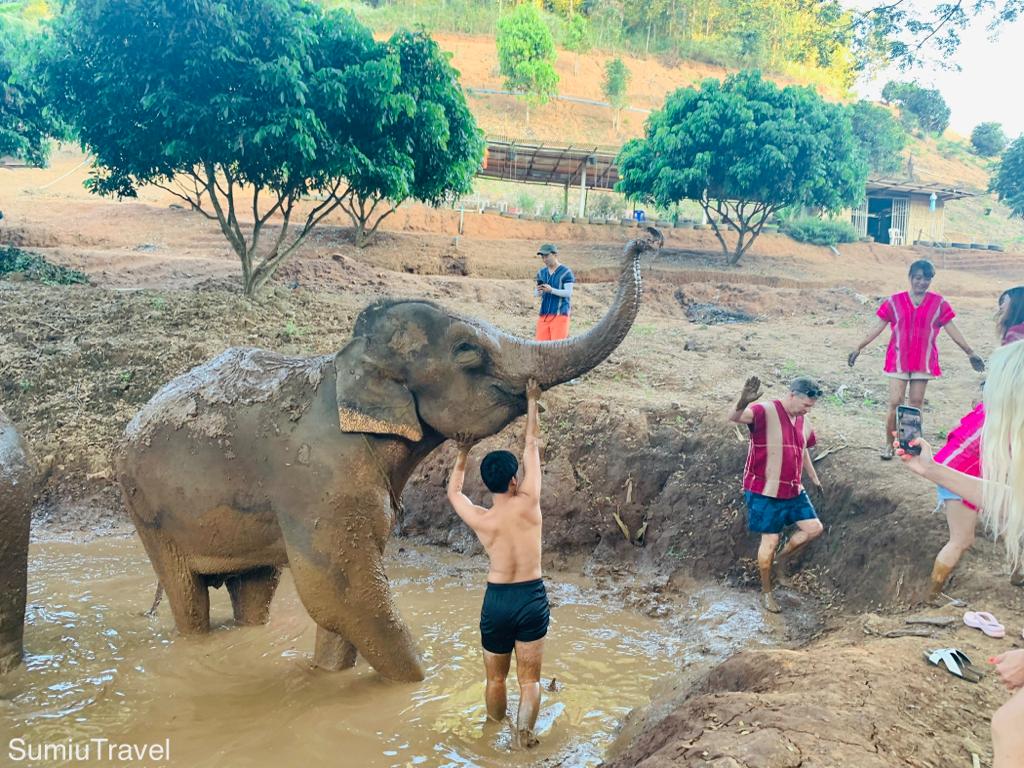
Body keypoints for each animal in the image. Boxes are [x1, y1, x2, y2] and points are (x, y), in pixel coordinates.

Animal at [115, 229, 662, 682]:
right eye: (468, 351)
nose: (647, 237)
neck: (348, 363)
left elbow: (342, 601)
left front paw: (326, 677)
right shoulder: (320, 480)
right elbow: (342, 595)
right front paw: (420, 688)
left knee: (255, 588)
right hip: (147, 508)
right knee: (188, 596)